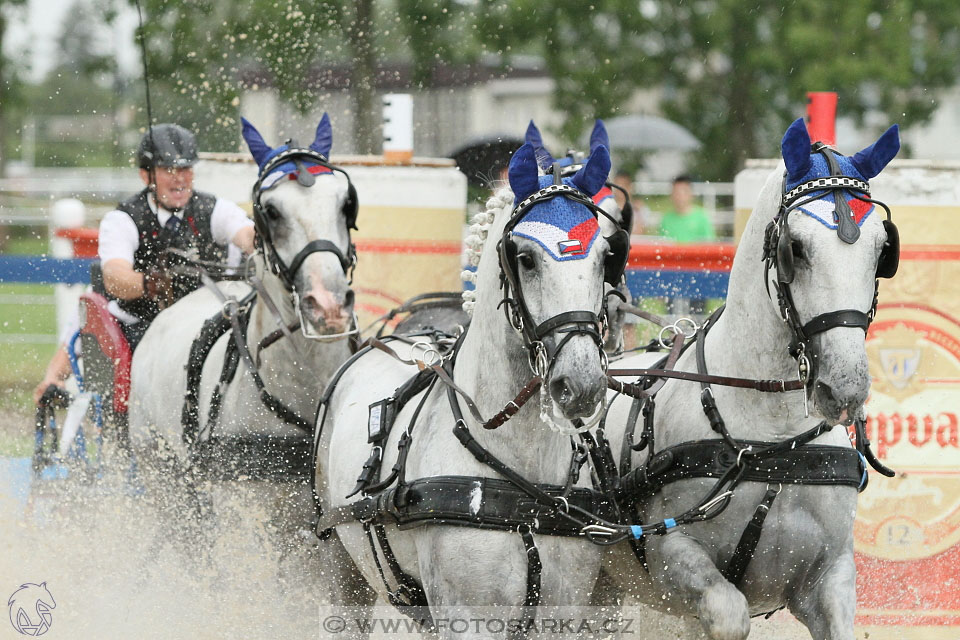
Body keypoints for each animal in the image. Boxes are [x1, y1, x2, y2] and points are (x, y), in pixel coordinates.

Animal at [316, 141, 624, 636]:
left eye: (605, 257)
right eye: (525, 258)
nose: (581, 383)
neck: (522, 482)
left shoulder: (565, 611)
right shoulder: (468, 615)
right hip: (340, 568)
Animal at [604, 121, 904, 640]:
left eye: (882, 250)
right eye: (794, 248)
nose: (844, 387)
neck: (774, 436)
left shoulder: (828, 579)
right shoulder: (671, 558)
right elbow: (728, 613)